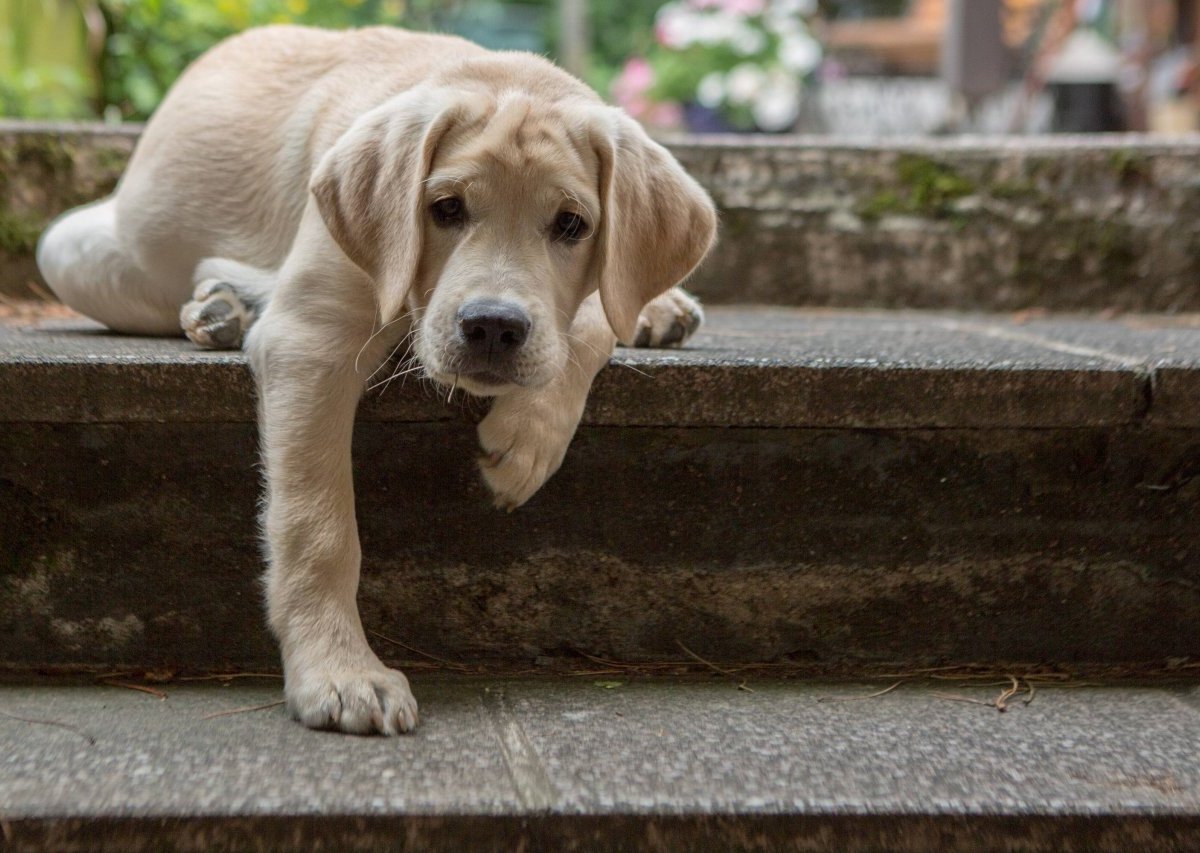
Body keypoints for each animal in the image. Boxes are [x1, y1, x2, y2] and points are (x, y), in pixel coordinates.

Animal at [37, 26, 715, 734]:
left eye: (572, 225)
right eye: (445, 209)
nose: (492, 328)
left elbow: (591, 318)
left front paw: (528, 437)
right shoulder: (310, 341)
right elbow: (319, 525)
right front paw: (340, 672)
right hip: (77, 250)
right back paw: (228, 303)